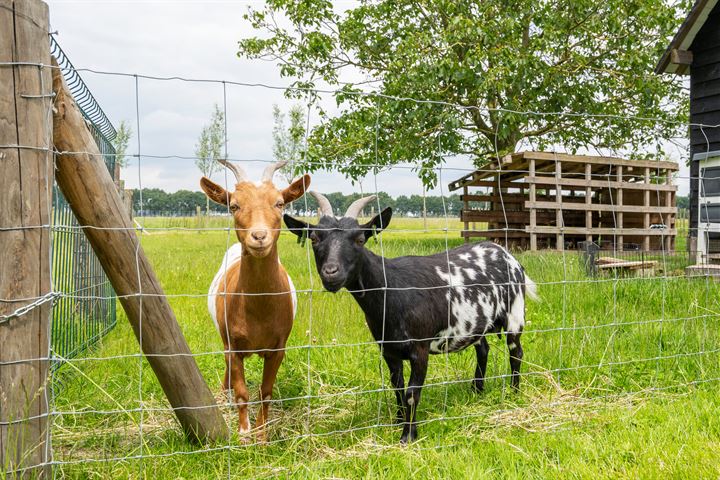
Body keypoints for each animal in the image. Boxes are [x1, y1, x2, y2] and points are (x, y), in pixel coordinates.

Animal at [200, 161, 310, 442]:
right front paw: (244, 433)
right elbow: (242, 393)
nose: (259, 237)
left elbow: (265, 392)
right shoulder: (233, 345)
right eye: (234, 205)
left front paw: (262, 435)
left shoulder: (278, 348)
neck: (259, 310)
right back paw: (224, 391)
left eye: (280, 203)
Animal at [284, 192, 536, 442]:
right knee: (483, 348)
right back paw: (477, 390)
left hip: (515, 313)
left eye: (360, 239)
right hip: (476, 321)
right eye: (314, 238)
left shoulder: (420, 349)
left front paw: (408, 435)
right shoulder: (388, 350)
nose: (331, 273)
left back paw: (514, 392)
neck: (392, 291)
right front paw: (397, 420)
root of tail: (509, 256)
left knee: (516, 353)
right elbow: (397, 386)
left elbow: (412, 393)